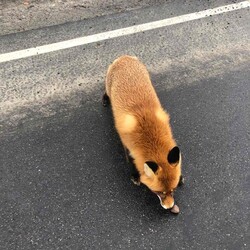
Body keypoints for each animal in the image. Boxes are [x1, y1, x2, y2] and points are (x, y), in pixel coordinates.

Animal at [102, 55, 183, 210]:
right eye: (159, 192)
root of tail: (125, 57)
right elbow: (130, 160)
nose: (170, 207)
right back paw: (104, 99)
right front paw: (135, 176)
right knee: (105, 92)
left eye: (173, 190)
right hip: (108, 87)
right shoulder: (126, 142)